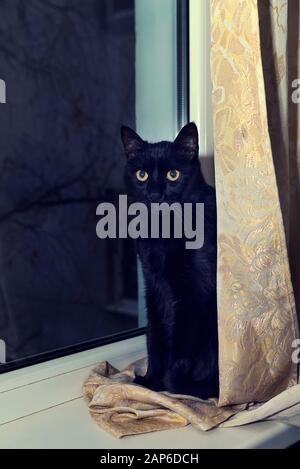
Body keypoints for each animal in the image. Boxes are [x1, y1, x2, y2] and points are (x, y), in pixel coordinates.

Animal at [120, 122, 219, 396]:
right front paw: (150, 380)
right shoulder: (154, 288)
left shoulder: (193, 295)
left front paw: (163, 384)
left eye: (173, 174)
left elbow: (178, 347)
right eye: (142, 175)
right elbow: (155, 337)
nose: (155, 195)